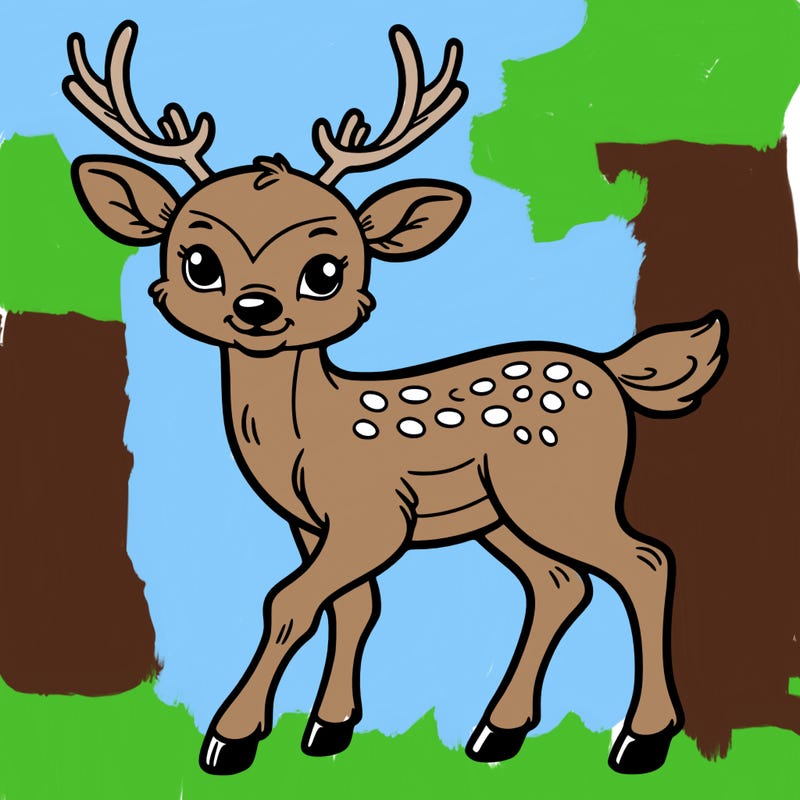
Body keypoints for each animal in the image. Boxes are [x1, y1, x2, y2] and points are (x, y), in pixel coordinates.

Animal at [63, 20, 727, 776]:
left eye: (325, 270)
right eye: (199, 262)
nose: (256, 308)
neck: (305, 436)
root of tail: (612, 371)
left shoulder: (372, 514)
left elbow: (289, 601)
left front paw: (231, 738)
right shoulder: (314, 524)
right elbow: (353, 606)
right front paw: (327, 728)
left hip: (563, 490)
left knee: (645, 562)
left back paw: (639, 740)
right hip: (502, 514)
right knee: (561, 583)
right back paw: (497, 731)